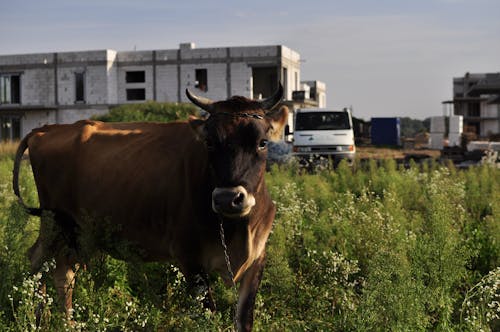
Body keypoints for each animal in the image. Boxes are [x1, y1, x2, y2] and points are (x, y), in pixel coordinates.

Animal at [12, 85, 290, 330]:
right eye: (210, 142)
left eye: (263, 142)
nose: (227, 198)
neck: (235, 228)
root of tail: (45, 129)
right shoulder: (189, 258)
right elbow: (208, 314)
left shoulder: (257, 259)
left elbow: (244, 320)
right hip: (54, 222)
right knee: (37, 260)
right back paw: (36, 320)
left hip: (79, 233)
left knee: (63, 272)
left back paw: (67, 323)